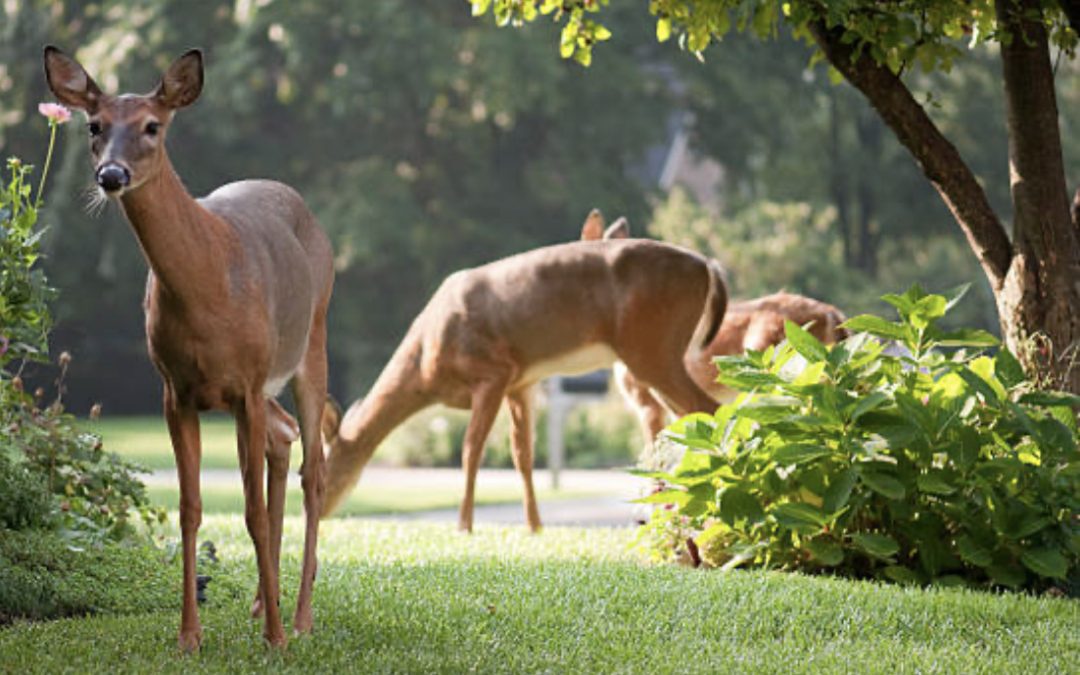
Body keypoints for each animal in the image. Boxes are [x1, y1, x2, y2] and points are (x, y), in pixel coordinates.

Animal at [44, 46, 332, 648]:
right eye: (94, 125)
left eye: (153, 126)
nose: (111, 175)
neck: (208, 289)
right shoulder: (175, 390)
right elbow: (189, 509)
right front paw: (188, 637)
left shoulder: (246, 382)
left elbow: (250, 510)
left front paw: (275, 639)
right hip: (260, 384)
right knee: (284, 437)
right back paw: (260, 603)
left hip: (309, 340)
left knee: (314, 468)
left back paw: (298, 618)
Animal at [317, 212, 725, 529]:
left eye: (324, 470)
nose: (316, 513)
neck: (426, 365)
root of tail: (706, 265)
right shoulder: (522, 382)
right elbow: (523, 455)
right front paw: (534, 527)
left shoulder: (492, 371)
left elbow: (471, 450)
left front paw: (464, 526)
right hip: (654, 351)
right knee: (686, 419)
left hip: (652, 345)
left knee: (708, 409)